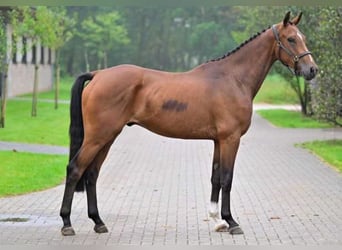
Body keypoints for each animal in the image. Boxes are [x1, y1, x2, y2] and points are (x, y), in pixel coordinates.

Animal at [59, 11, 318, 235]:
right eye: (291, 39)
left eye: (304, 38)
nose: (312, 70)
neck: (233, 79)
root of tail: (98, 74)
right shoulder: (230, 139)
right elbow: (227, 178)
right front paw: (231, 222)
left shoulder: (218, 140)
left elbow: (215, 178)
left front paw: (217, 221)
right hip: (97, 137)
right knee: (75, 169)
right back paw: (67, 224)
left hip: (108, 137)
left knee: (91, 174)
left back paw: (98, 222)